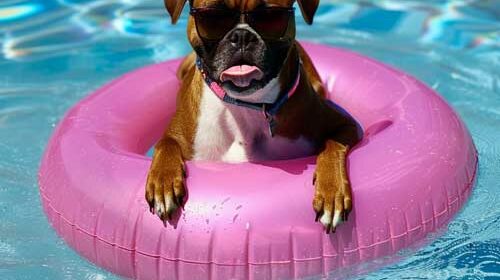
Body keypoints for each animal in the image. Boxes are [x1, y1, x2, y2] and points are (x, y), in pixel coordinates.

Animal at [146, 0, 362, 233]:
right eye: (214, 16)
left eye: (270, 16)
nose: (242, 35)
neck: (248, 105)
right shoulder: (176, 135)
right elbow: (166, 144)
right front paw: (164, 183)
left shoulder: (347, 125)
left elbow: (332, 147)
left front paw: (332, 191)